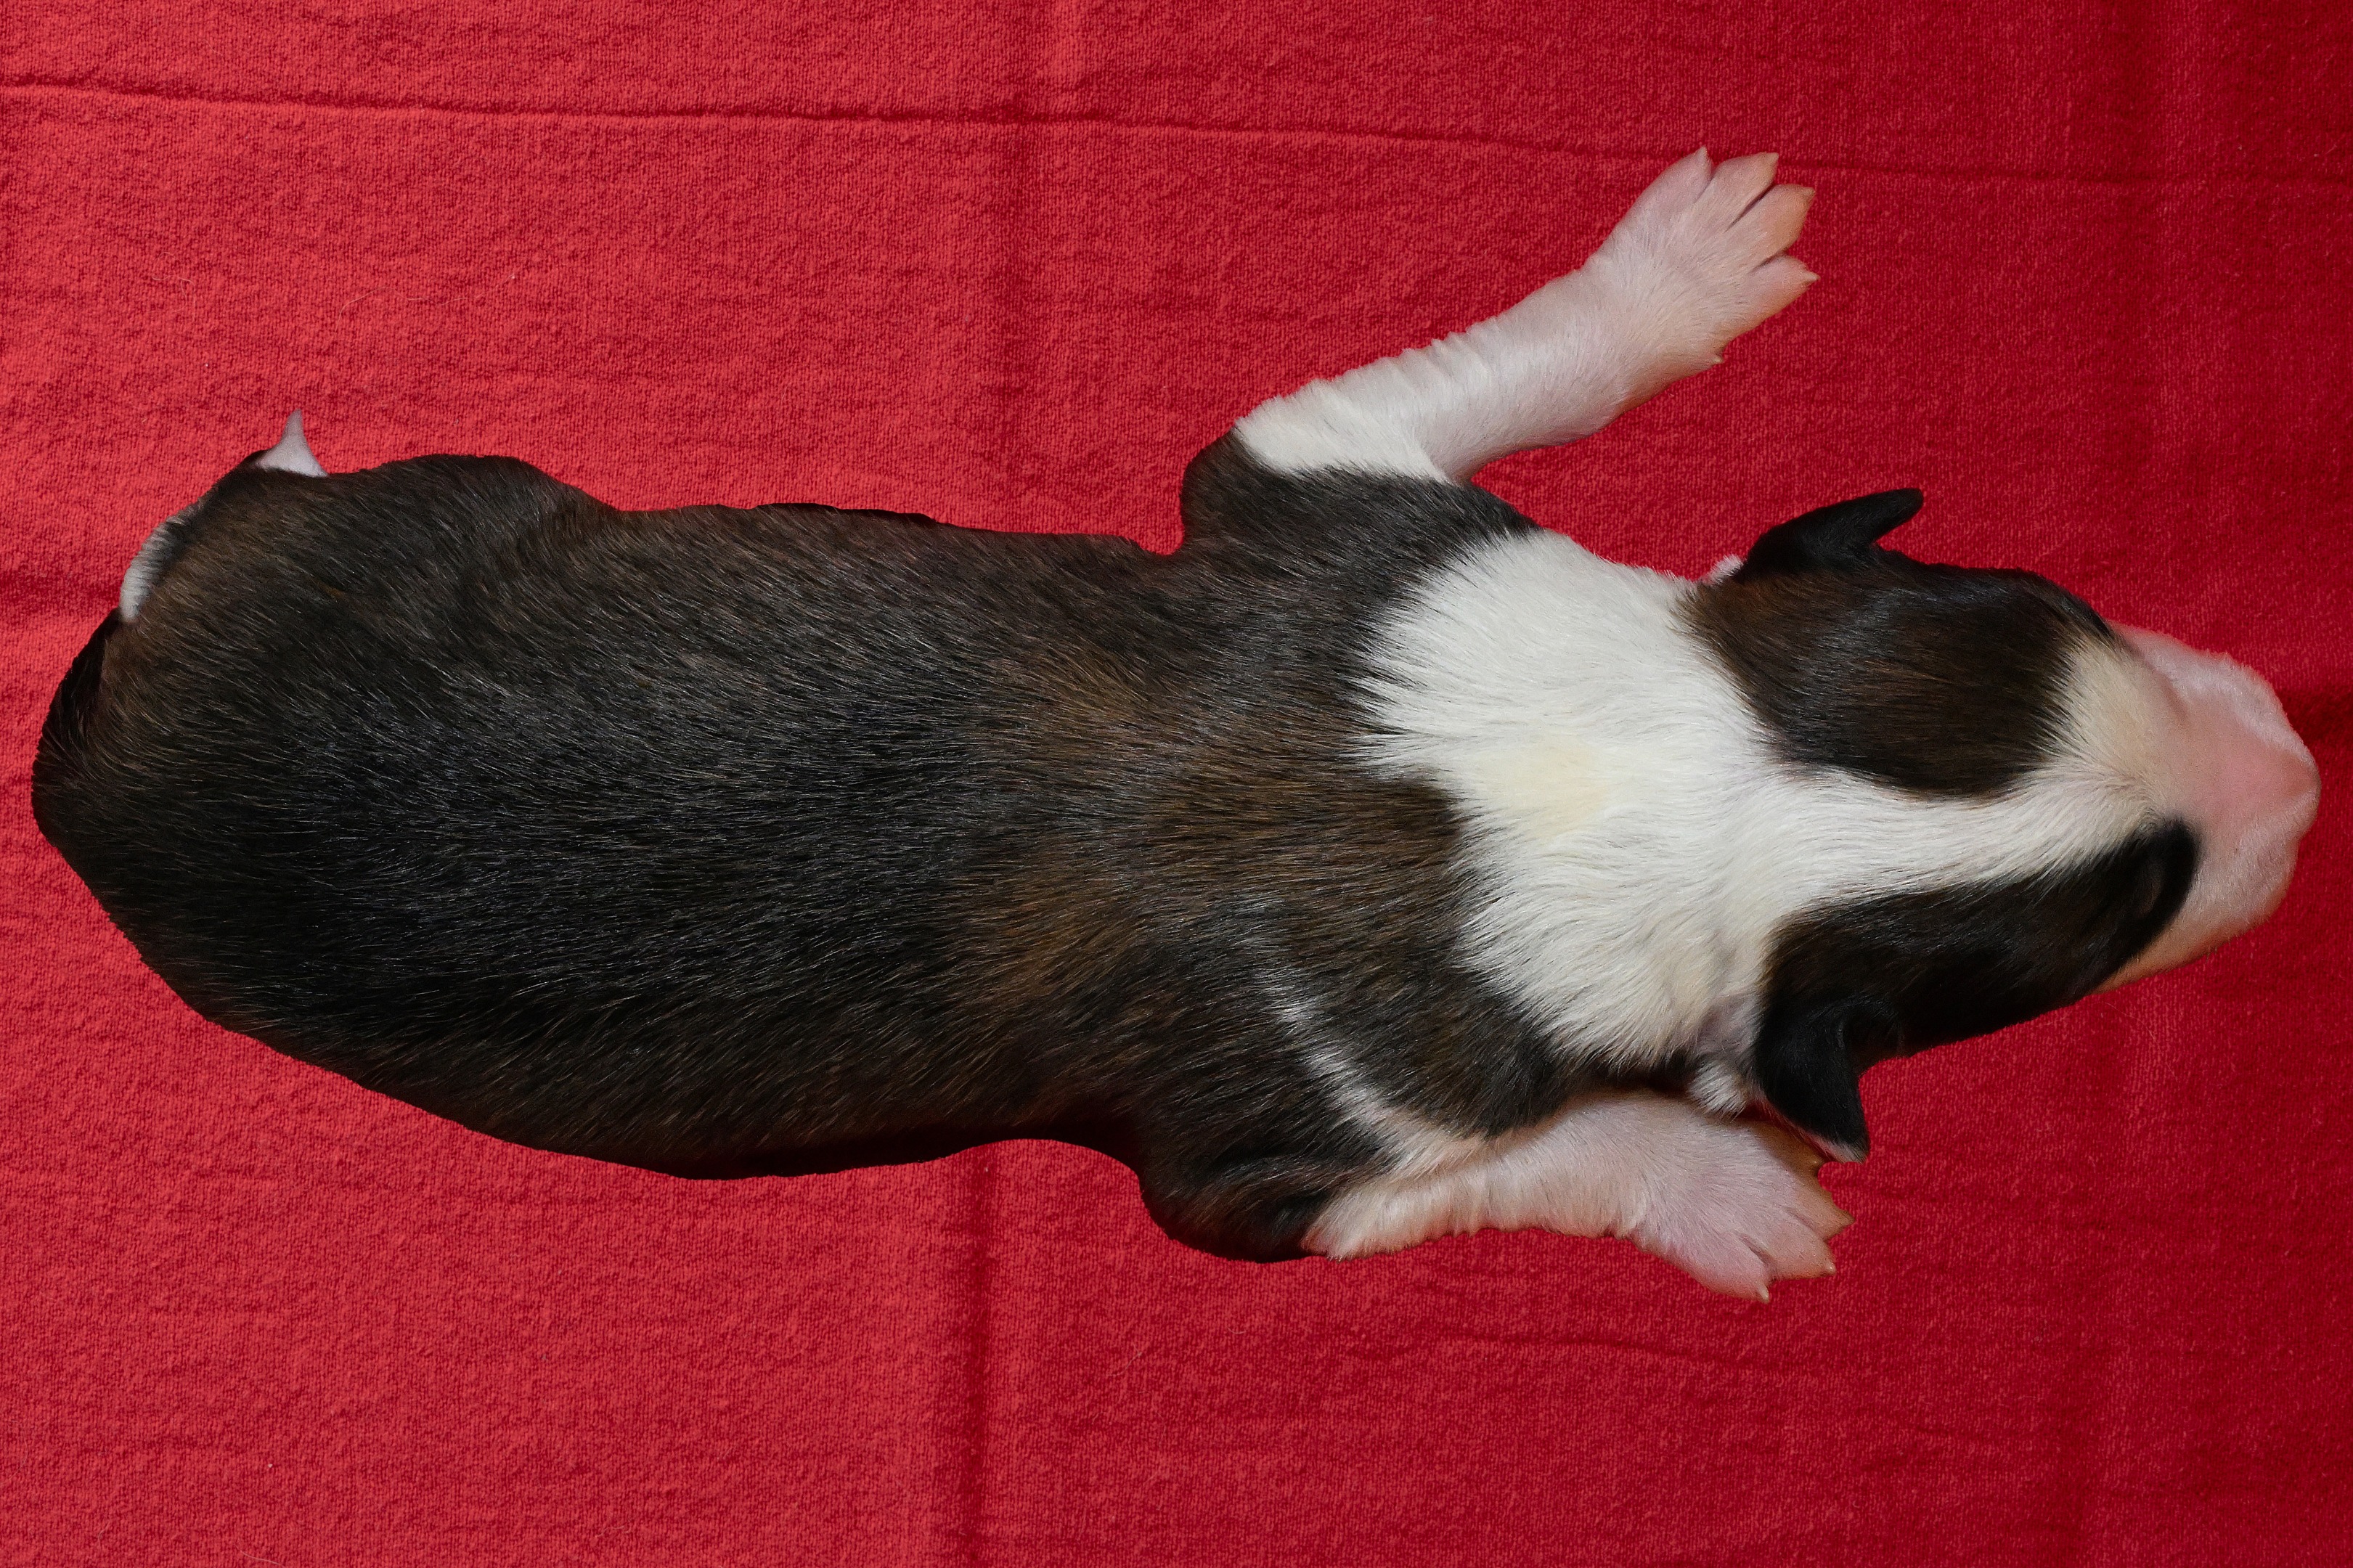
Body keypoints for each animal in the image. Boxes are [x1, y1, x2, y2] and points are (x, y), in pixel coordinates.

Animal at [32, 151, 2319, 1298]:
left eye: (2064, 604)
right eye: (2116, 927)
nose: (2302, 772)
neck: (1667, 780)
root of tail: (83, 771)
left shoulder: (1354, 503)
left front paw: (1685, 269)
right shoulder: (1289, 1157)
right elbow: (1545, 1150)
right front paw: (1721, 1188)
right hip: (437, 502)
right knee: (222, 502)